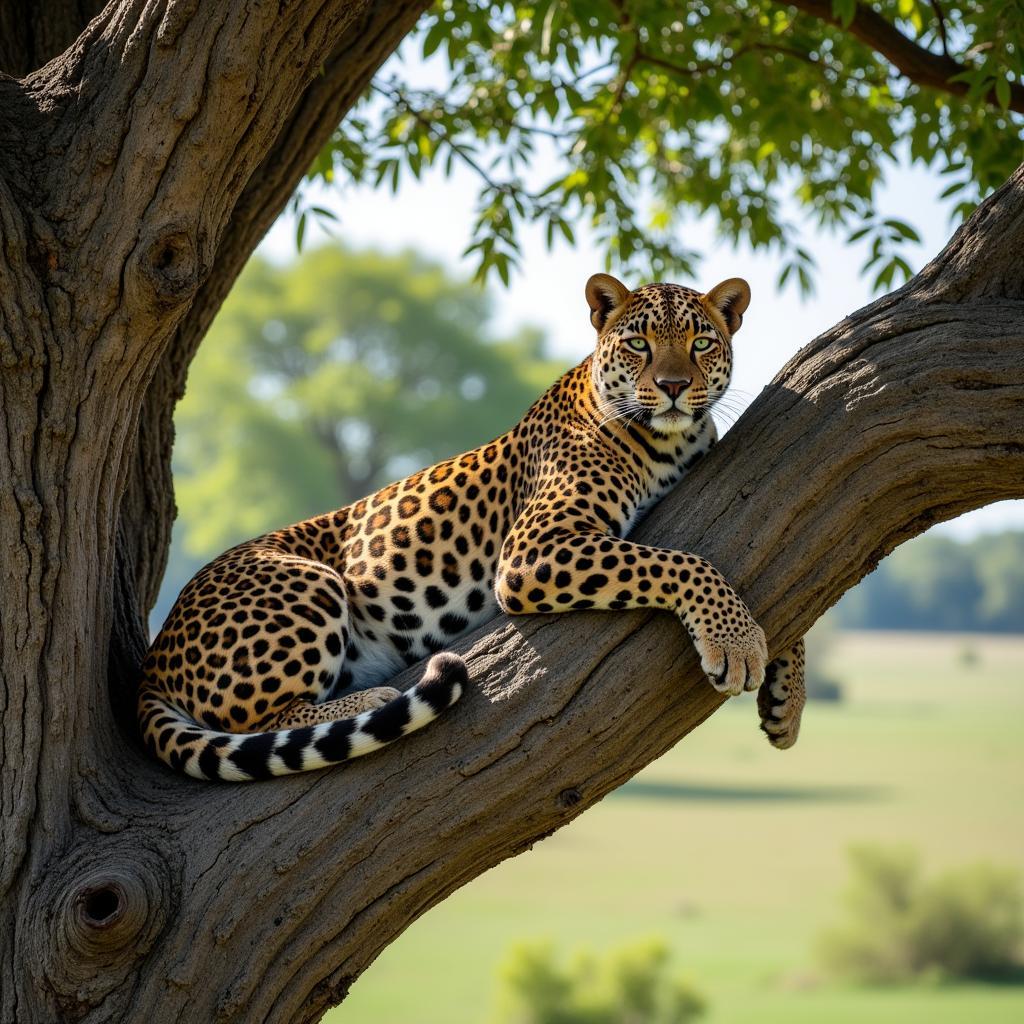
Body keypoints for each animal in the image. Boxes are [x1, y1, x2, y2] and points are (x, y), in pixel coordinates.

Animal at [140, 268, 802, 778]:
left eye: (701, 343)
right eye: (639, 344)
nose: (672, 386)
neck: (671, 443)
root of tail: (153, 659)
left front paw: (786, 699)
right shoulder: (535, 549)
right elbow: (683, 561)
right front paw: (737, 645)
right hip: (307, 582)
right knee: (266, 717)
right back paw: (368, 698)